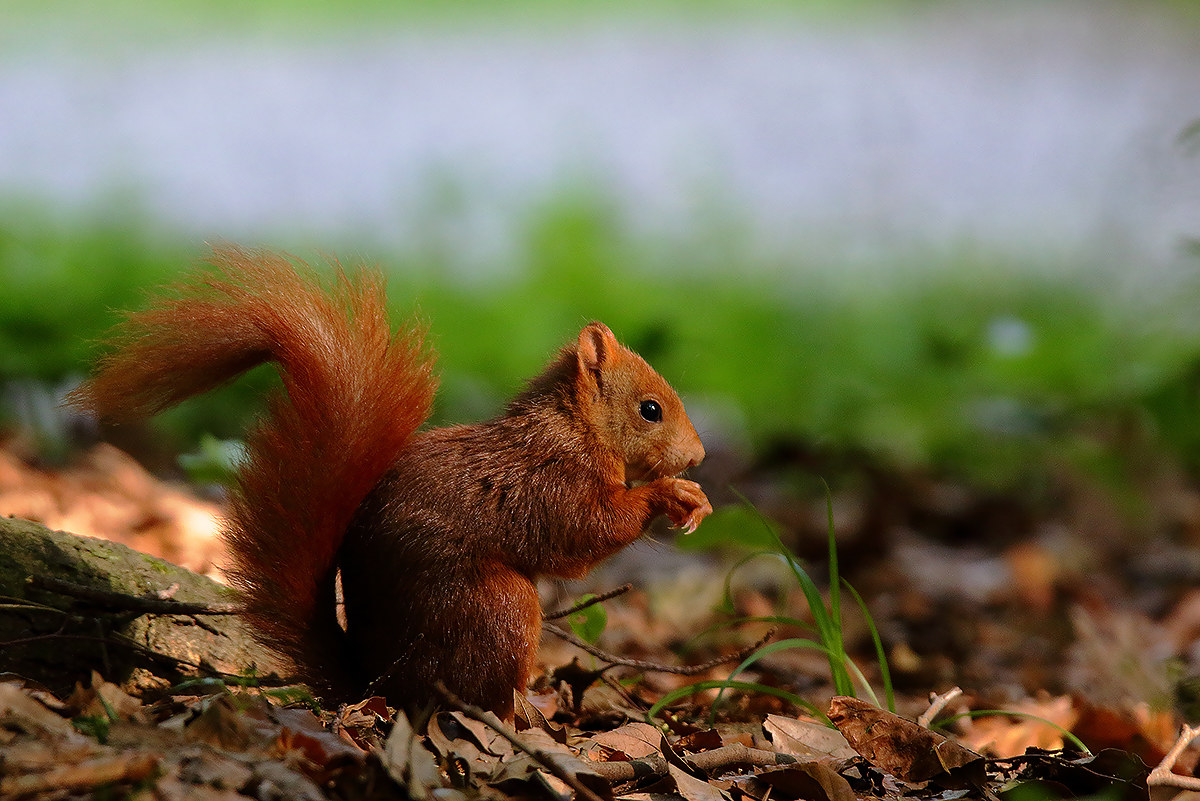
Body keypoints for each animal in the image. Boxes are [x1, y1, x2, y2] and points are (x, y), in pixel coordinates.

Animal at [69, 246, 712, 719]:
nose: (700, 456)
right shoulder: (549, 481)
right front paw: (669, 495)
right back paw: (520, 718)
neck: (571, 430)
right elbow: (584, 532)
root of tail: (374, 683)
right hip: (495, 607)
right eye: (650, 410)